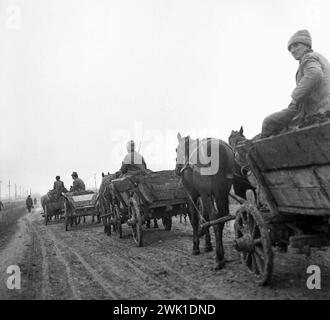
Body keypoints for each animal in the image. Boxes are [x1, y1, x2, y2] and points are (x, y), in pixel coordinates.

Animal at [175, 131, 235, 268]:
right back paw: (220, 254)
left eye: (176, 149)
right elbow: (206, 217)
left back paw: (219, 257)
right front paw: (208, 245)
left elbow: (196, 220)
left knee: (215, 218)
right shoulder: (208, 195)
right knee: (221, 218)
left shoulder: (193, 195)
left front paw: (196, 247)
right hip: (221, 193)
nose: (177, 169)